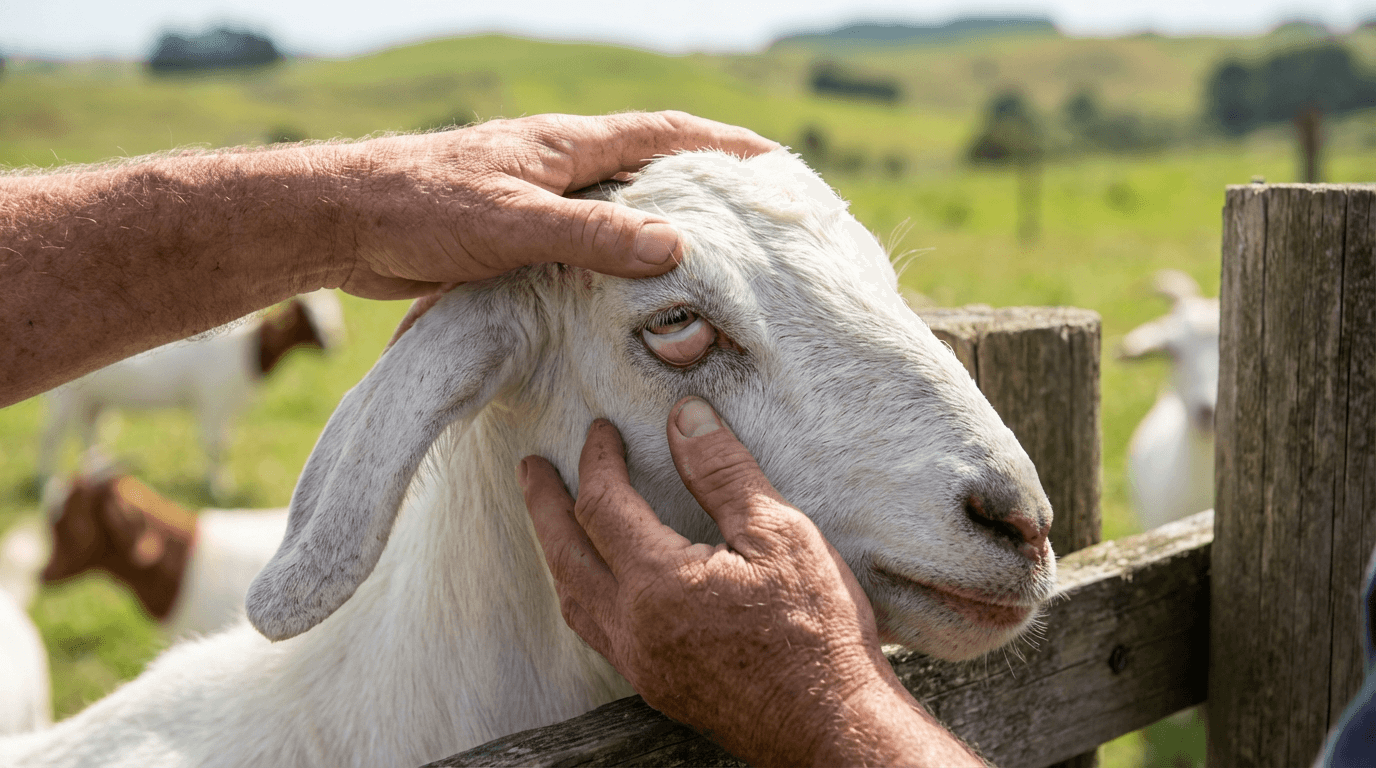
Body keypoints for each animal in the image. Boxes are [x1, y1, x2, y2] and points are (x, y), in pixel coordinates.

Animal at [38, 290, 346, 502]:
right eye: (308, 317)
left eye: (334, 312)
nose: (335, 345)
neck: (251, 351)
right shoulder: (212, 403)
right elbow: (215, 446)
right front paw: (218, 490)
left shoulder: (226, 408)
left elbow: (223, 444)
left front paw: (219, 485)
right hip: (64, 403)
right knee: (50, 439)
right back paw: (47, 484)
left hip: (93, 402)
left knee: (89, 432)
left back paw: (97, 467)